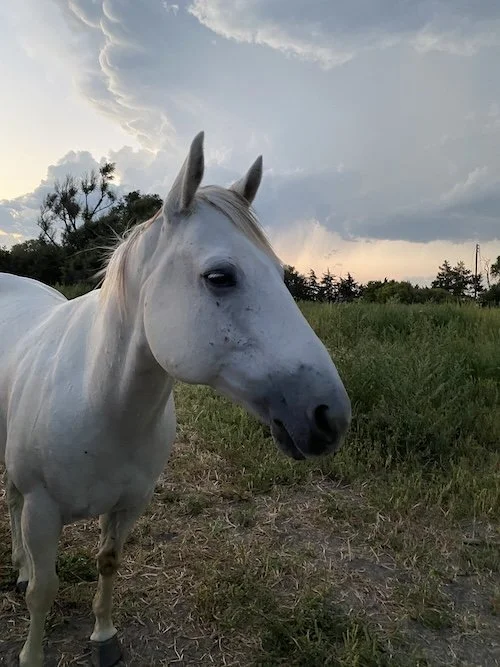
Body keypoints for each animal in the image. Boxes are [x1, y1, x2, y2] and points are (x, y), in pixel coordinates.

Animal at [0, 131, 351, 667]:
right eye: (220, 277)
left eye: (278, 272)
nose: (329, 415)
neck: (100, 403)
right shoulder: (43, 513)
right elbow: (44, 589)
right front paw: (32, 653)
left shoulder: (129, 505)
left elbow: (108, 563)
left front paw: (104, 637)